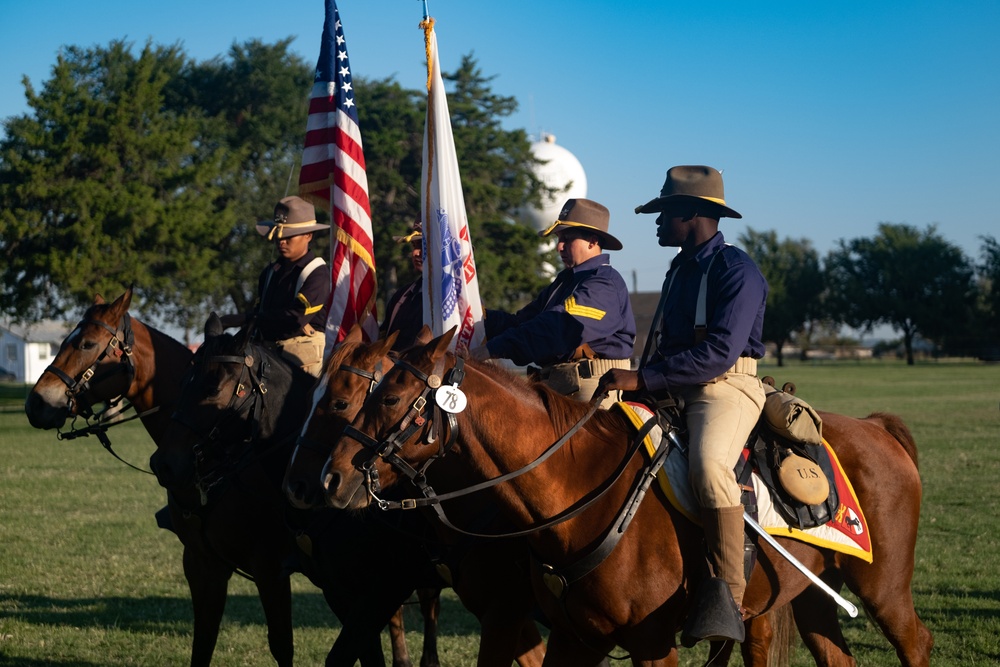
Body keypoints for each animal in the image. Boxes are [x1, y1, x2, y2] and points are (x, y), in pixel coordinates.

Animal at [21, 290, 432, 667]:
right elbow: (204, 640)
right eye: (185, 380)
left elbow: (283, 646)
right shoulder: (204, 563)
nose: (37, 403)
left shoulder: (274, 571)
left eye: (88, 344)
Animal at [318, 330, 928, 667]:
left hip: (883, 589)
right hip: (810, 599)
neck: (580, 492)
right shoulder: (574, 638)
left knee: (916, 643)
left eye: (388, 397)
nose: (331, 478)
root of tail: (877, 427)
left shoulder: (647, 641)